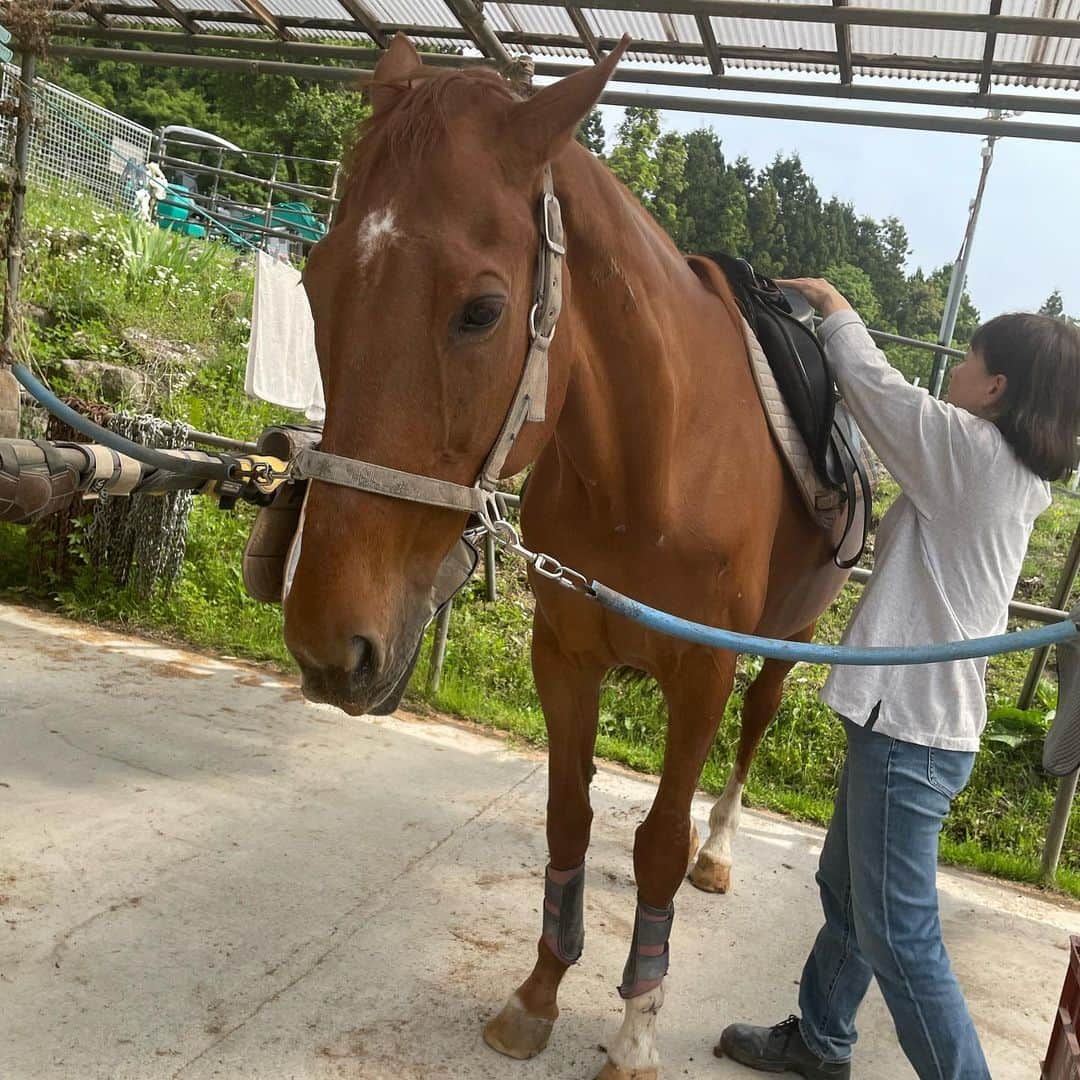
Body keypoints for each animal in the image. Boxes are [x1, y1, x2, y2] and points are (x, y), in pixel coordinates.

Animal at [285, 33, 851, 1080]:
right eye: (314, 282)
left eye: (482, 311)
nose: (327, 643)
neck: (651, 462)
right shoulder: (566, 654)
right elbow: (568, 818)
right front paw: (540, 992)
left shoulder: (702, 673)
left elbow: (659, 840)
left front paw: (635, 1025)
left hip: (790, 638)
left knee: (752, 731)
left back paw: (720, 849)